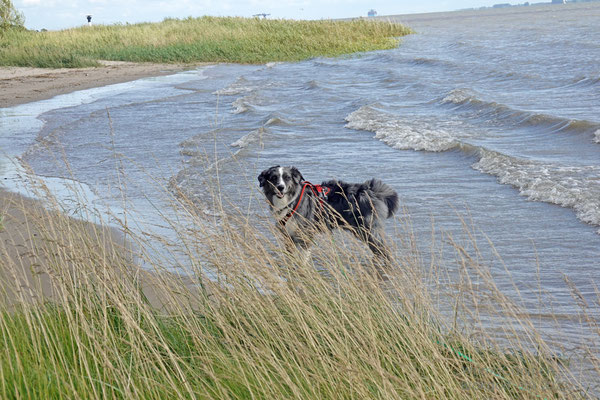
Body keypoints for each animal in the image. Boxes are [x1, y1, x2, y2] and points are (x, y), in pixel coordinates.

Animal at [258, 166, 398, 266]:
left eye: (287, 177)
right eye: (274, 178)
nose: (280, 187)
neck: (291, 201)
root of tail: (371, 191)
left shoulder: (305, 234)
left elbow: (303, 257)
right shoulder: (288, 235)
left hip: (367, 230)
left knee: (384, 251)